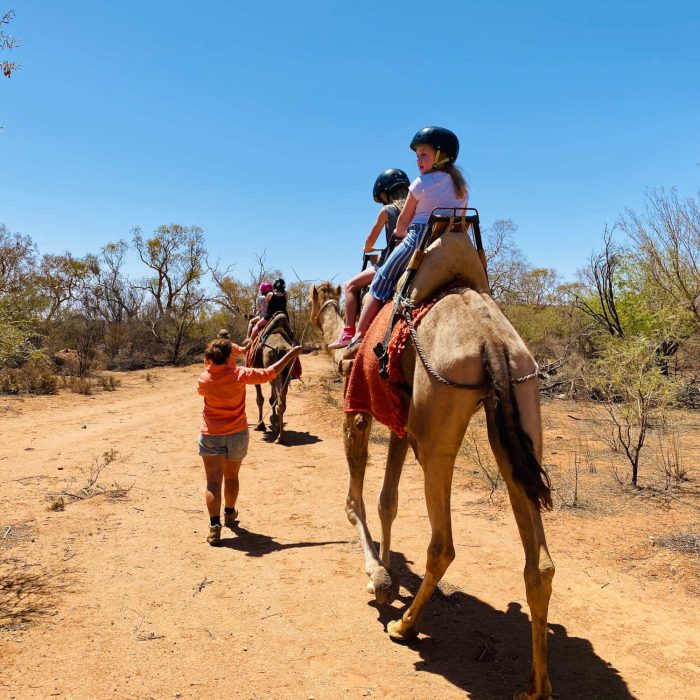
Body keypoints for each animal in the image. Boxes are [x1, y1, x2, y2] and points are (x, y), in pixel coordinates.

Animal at [249, 314, 296, 446]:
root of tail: (281, 348)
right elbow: (271, 399)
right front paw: (274, 422)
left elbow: (260, 399)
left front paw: (260, 425)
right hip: (286, 373)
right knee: (281, 402)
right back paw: (280, 433)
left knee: (278, 400)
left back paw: (280, 437)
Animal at [312, 280, 556, 700]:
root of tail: (491, 340)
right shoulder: (398, 419)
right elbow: (387, 502)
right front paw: (387, 569)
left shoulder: (357, 408)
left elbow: (355, 501)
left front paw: (378, 577)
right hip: (523, 396)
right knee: (539, 564)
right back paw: (535, 687)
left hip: (437, 418)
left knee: (442, 546)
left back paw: (404, 627)